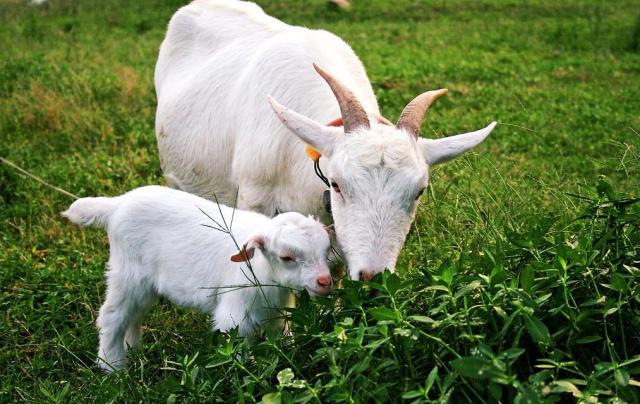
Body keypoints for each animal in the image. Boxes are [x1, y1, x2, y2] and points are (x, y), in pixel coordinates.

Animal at [62, 185, 332, 370]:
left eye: (326, 249)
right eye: (286, 257)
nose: (325, 281)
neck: (263, 269)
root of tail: (117, 205)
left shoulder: (276, 311)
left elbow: (281, 337)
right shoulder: (235, 315)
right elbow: (237, 347)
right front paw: (243, 371)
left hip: (145, 285)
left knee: (133, 314)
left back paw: (133, 351)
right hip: (128, 273)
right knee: (112, 316)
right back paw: (113, 368)